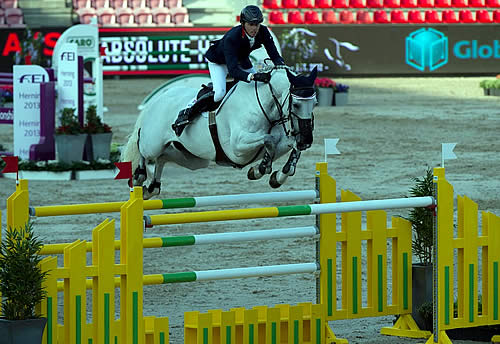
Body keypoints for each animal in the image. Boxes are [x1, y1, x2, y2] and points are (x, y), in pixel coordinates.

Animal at [122, 66, 316, 199]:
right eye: (296, 104)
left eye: (314, 103)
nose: (306, 139)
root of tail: (157, 100)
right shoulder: (237, 148)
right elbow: (268, 140)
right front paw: (260, 169)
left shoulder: (281, 143)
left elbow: (288, 147)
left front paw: (277, 176)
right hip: (153, 143)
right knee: (143, 148)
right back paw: (139, 178)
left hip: (193, 159)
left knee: (163, 157)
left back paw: (151, 188)